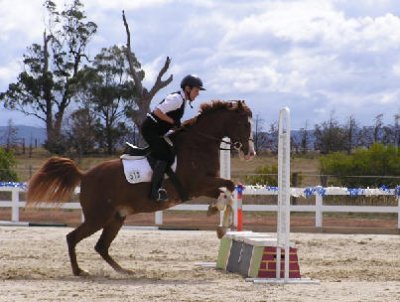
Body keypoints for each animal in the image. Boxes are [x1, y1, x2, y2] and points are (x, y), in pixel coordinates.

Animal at [26, 99, 255, 276]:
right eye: (244, 124)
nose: (250, 153)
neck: (198, 144)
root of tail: (84, 175)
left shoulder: (204, 186)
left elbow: (228, 192)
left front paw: (218, 218)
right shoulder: (197, 185)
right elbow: (229, 187)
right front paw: (219, 219)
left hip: (116, 218)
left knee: (101, 246)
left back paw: (124, 271)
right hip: (98, 217)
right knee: (72, 238)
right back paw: (79, 271)